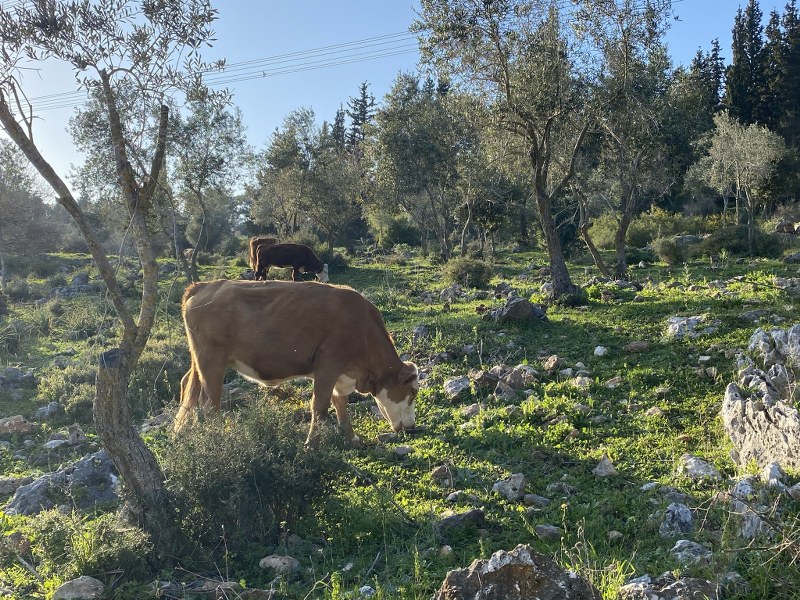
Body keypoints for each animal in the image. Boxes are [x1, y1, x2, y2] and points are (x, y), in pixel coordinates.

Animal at [176, 278, 418, 442]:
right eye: (412, 393)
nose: (411, 427)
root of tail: (204, 285)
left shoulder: (341, 374)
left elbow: (340, 402)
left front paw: (351, 438)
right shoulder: (329, 362)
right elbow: (320, 406)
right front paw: (311, 445)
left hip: (199, 359)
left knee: (188, 385)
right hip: (211, 359)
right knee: (210, 404)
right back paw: (217, 438)